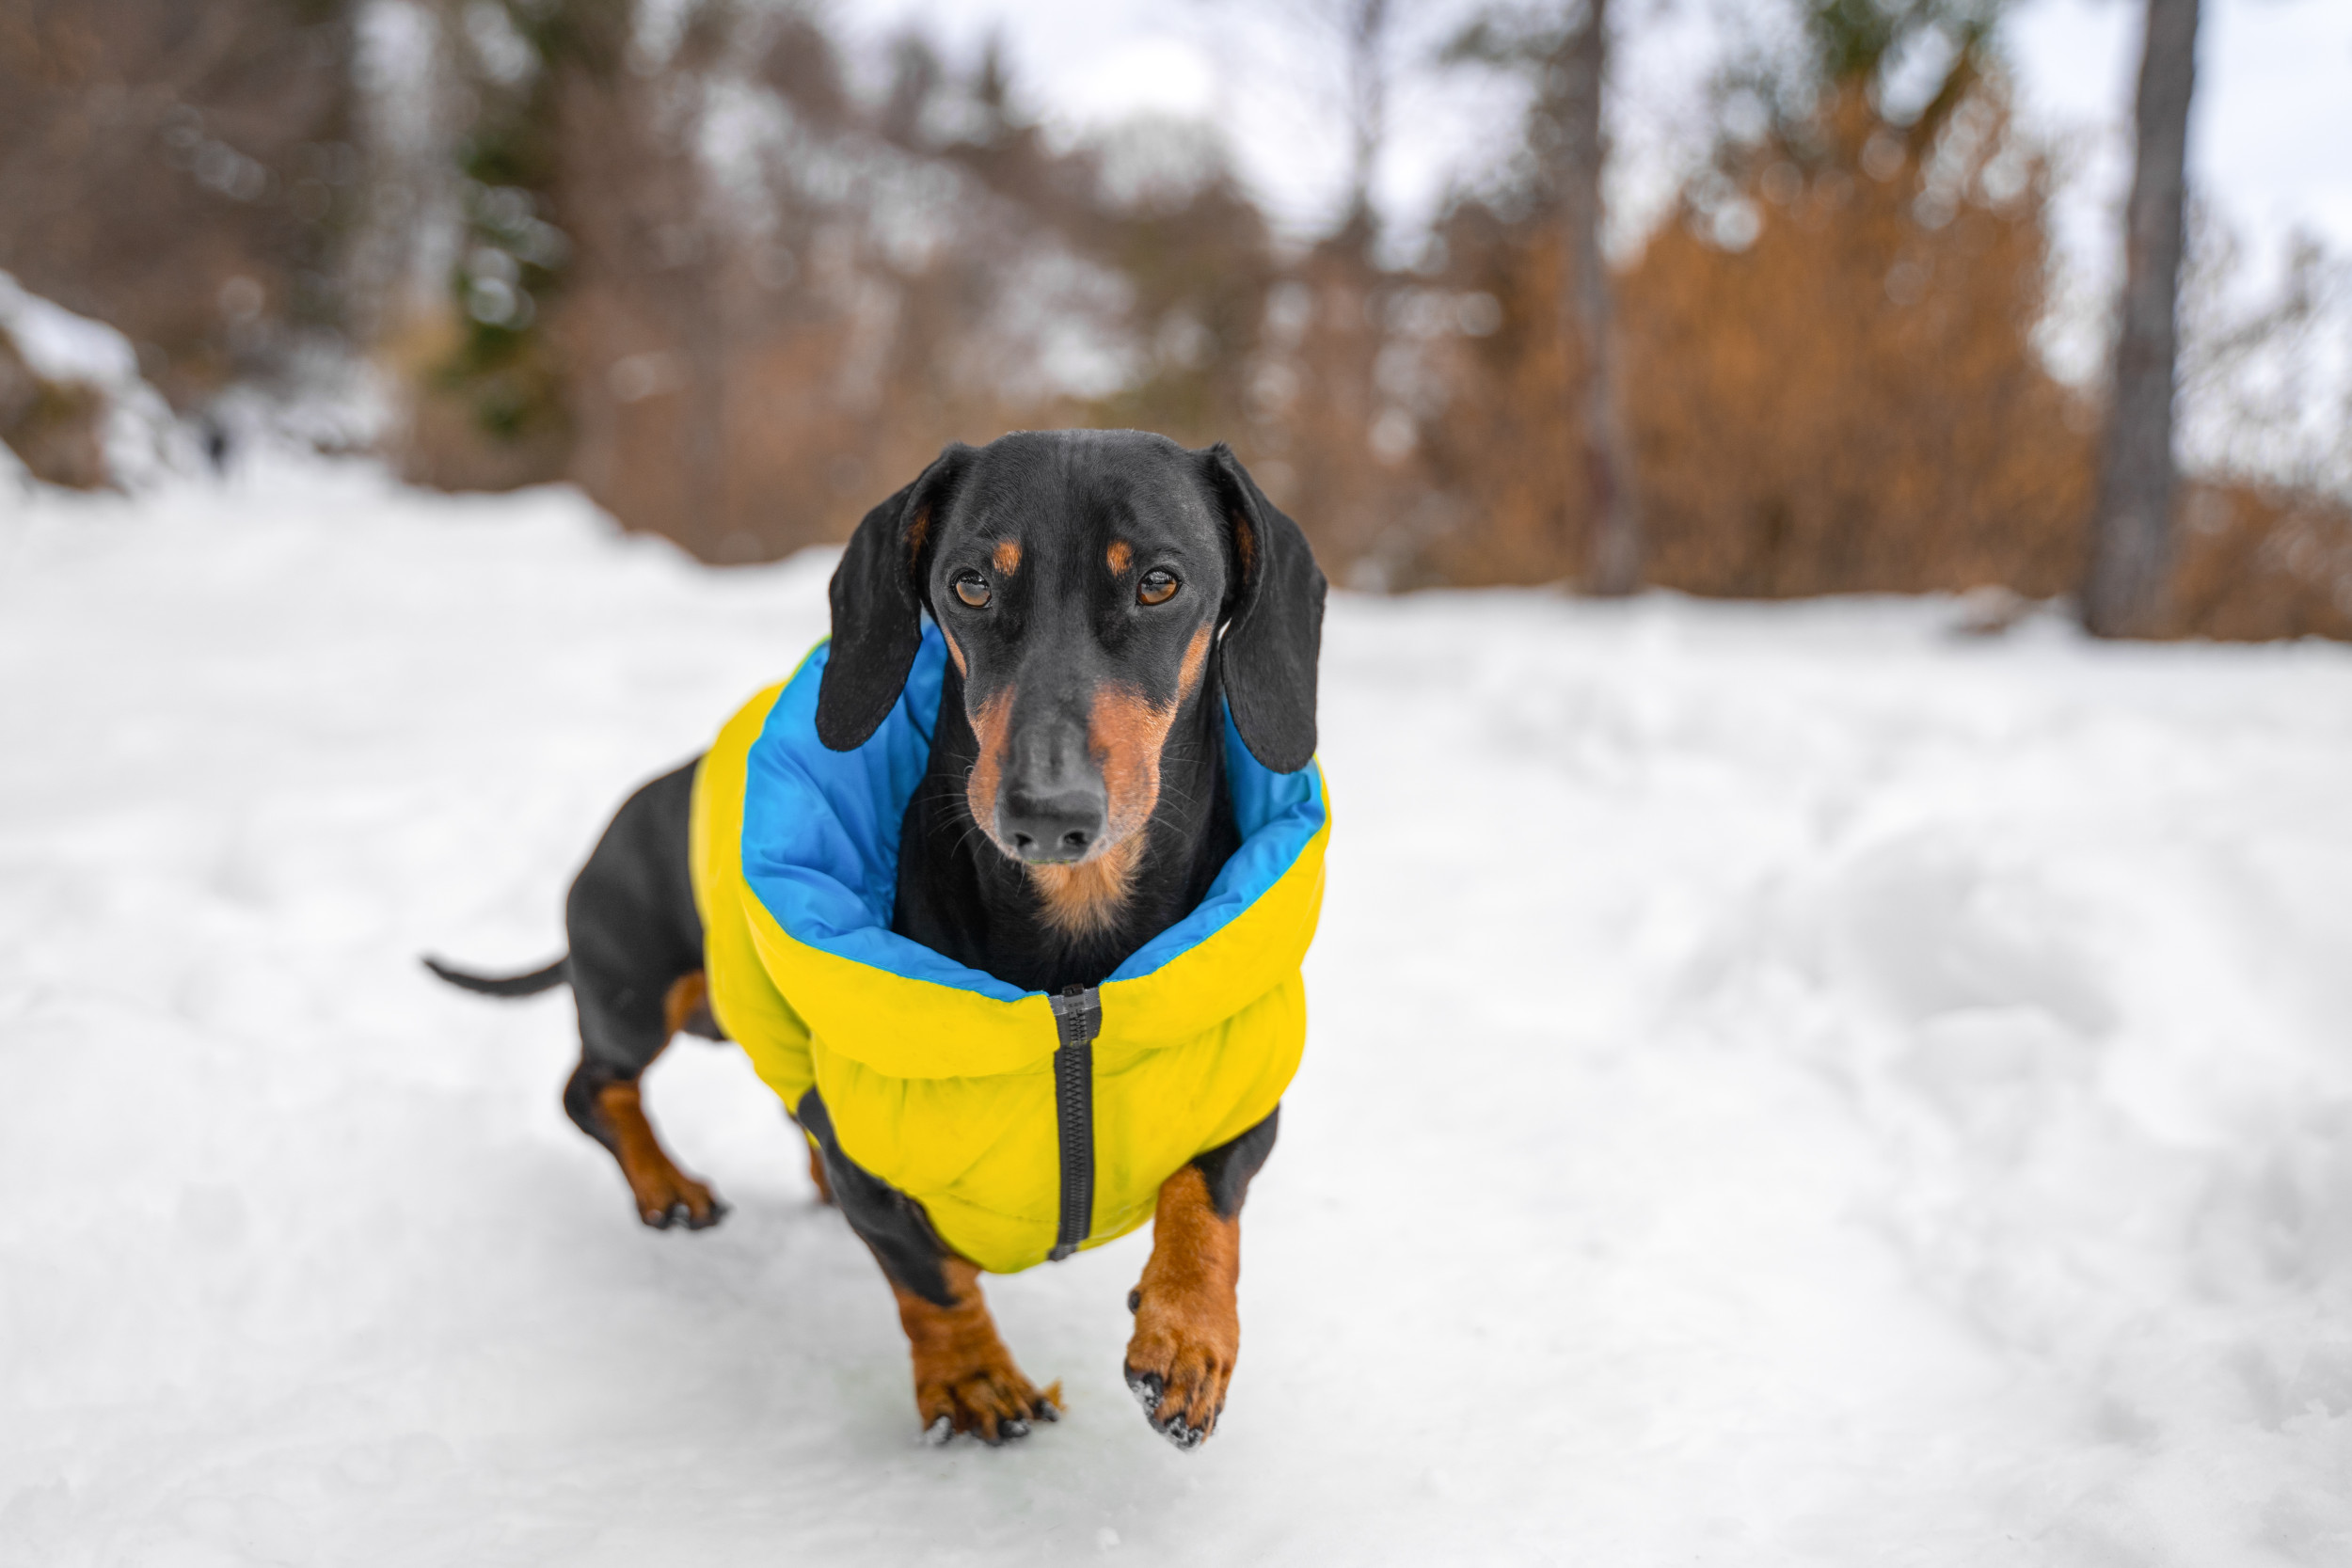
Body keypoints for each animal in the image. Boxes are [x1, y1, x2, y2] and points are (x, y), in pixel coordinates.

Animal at [433, 425, 1327, 1448]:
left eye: (1159, 582)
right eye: (970, 583)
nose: (1047, 813)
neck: (1071, 982)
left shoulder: (1244, 1088)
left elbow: (1207, 1195)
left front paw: (1185, 1337)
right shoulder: (864, 1151)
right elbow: (927, 1272)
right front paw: (975, 1377)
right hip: (632, 991)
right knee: (591, 1088)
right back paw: (666, 1185)